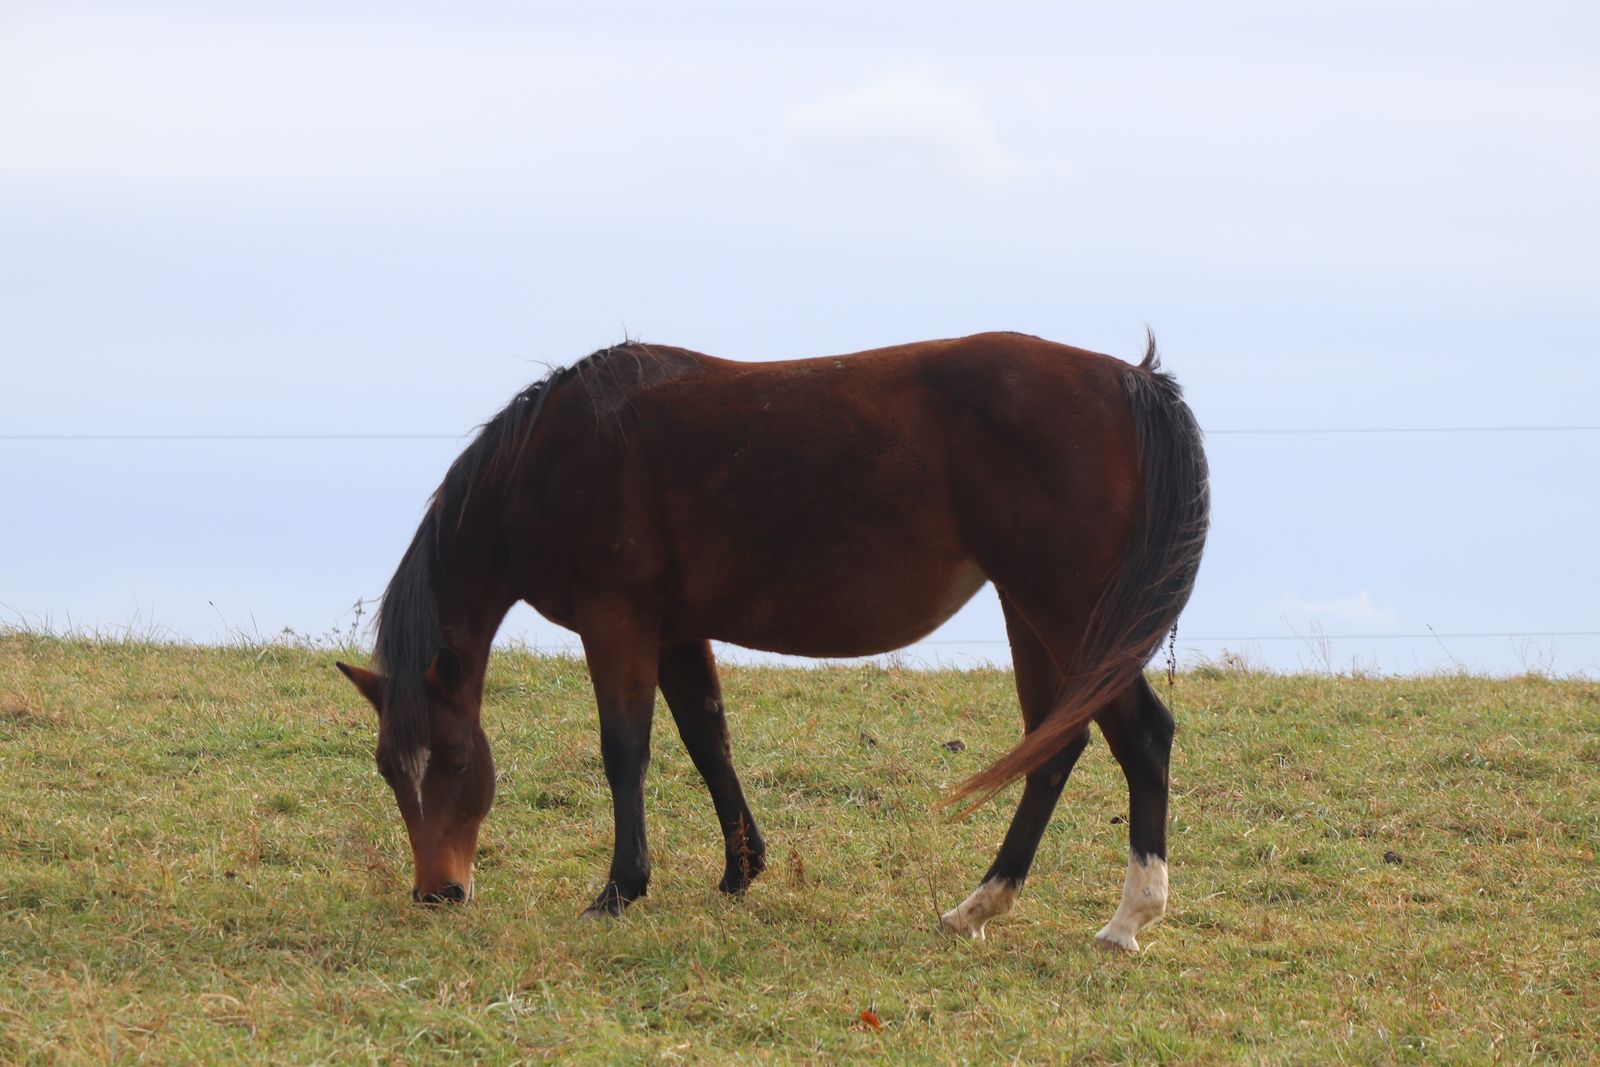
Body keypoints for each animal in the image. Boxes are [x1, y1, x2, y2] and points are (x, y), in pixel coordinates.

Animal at [336, 330, 1208, 950]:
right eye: (386, 768)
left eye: (456, 759)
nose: (438, 890)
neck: (553, 457)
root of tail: (1129, 380)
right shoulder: (676, 630)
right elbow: (707, 738)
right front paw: (740, 868)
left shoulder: (618, 619)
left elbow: (627, 750)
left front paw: (619, 889)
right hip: (1034, 614)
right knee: (1054, 748)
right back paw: (978, 906)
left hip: (1066, 610)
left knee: (1141, 735)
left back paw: (1128, 918)